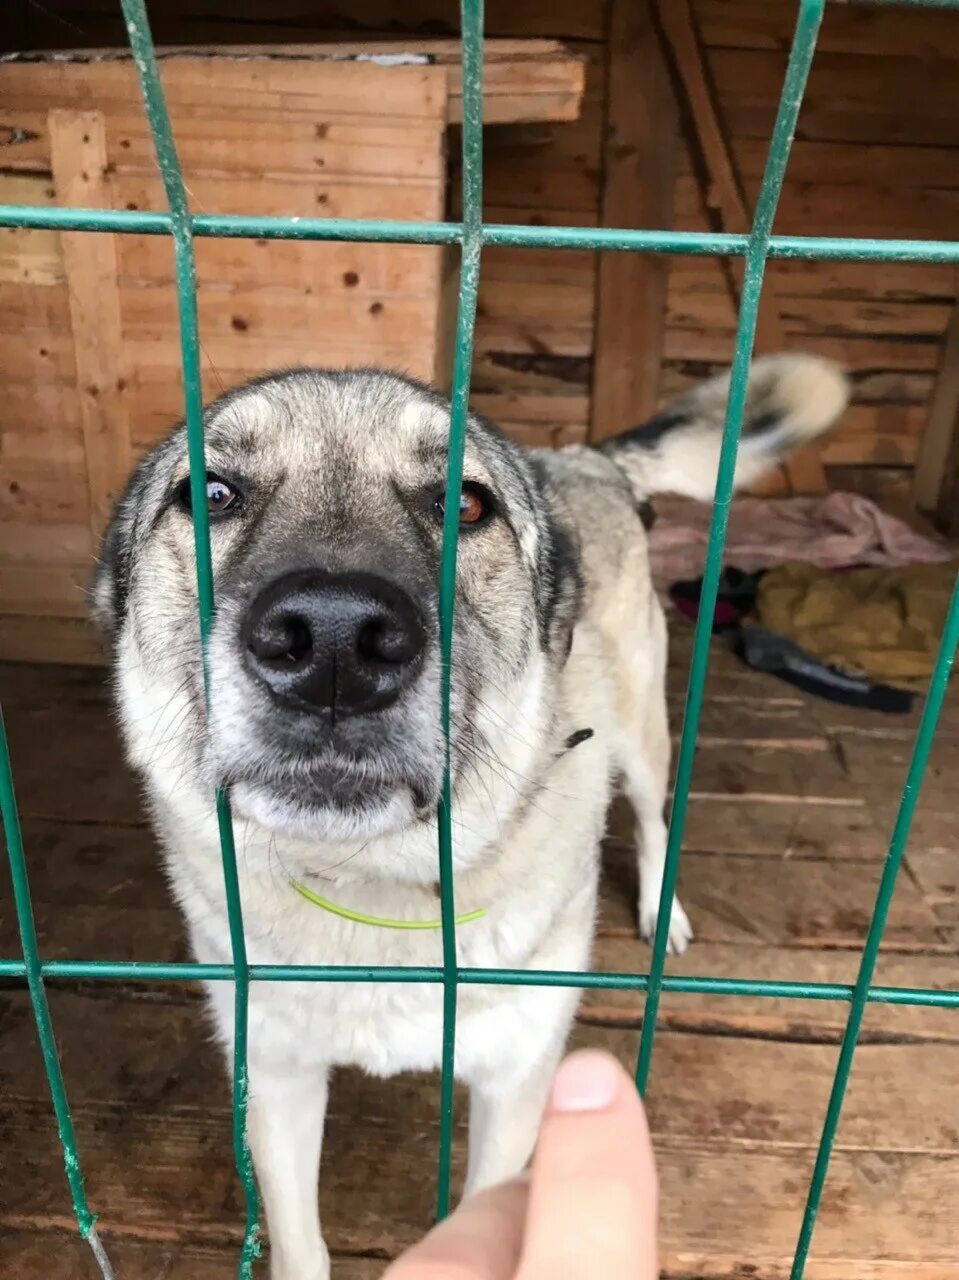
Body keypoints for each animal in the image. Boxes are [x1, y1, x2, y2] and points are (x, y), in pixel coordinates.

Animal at [91, 353, 845, 1280]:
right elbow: (302, 1242)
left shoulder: (514, 1085)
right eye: (209, 495)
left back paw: (660, 909)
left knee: (652, 812)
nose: (334, 643)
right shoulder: (274, 1078)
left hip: (642, 733)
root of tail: (575, 458)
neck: (371, 885)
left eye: (467, 505)